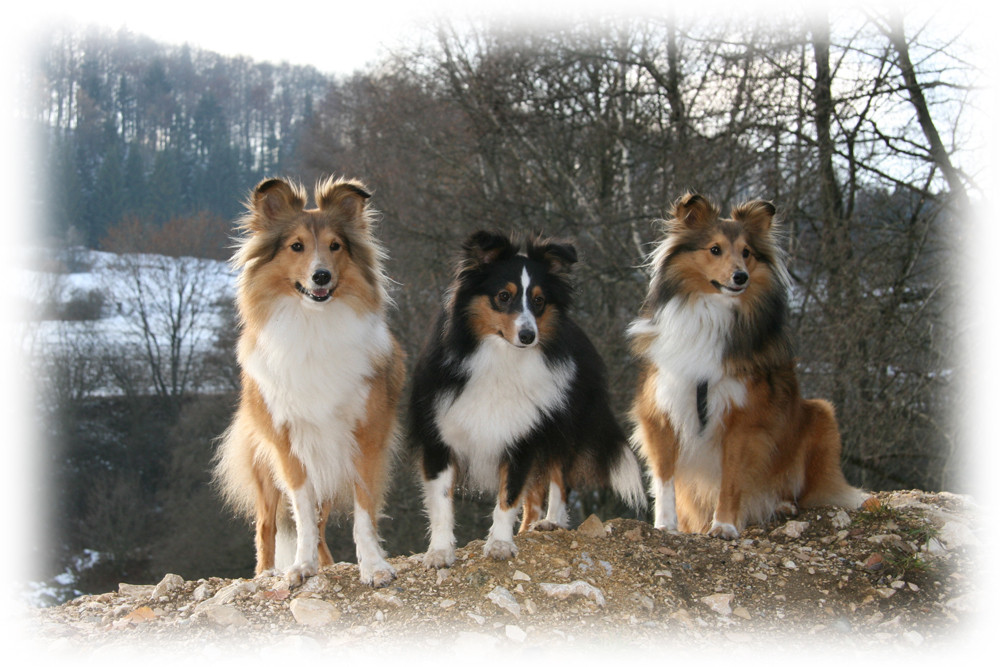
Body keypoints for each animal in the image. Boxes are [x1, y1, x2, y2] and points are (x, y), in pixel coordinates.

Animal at [216, 176, 406, 584]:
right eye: (296, 246)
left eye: (336, 246)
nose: (321, 276)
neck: (314, 325)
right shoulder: (289, 444)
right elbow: (301, 513)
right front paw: (301, 567)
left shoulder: (364, 438)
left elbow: (364, 512)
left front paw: (374, 567)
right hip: (265, 467)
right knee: (267, 526)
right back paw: (266, 572)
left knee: (320, 525)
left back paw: (329, 565)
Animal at [628, 192, 864, 536]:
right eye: (714, 249)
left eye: (747, 252)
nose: (741, 277)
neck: (713, 313)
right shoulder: (662, 410)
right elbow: (665, 478)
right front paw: (665, 525)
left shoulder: (743, 420)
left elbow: (731, 479)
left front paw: (724, 525)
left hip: (821, 414)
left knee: (802, 490)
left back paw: (781, 504)